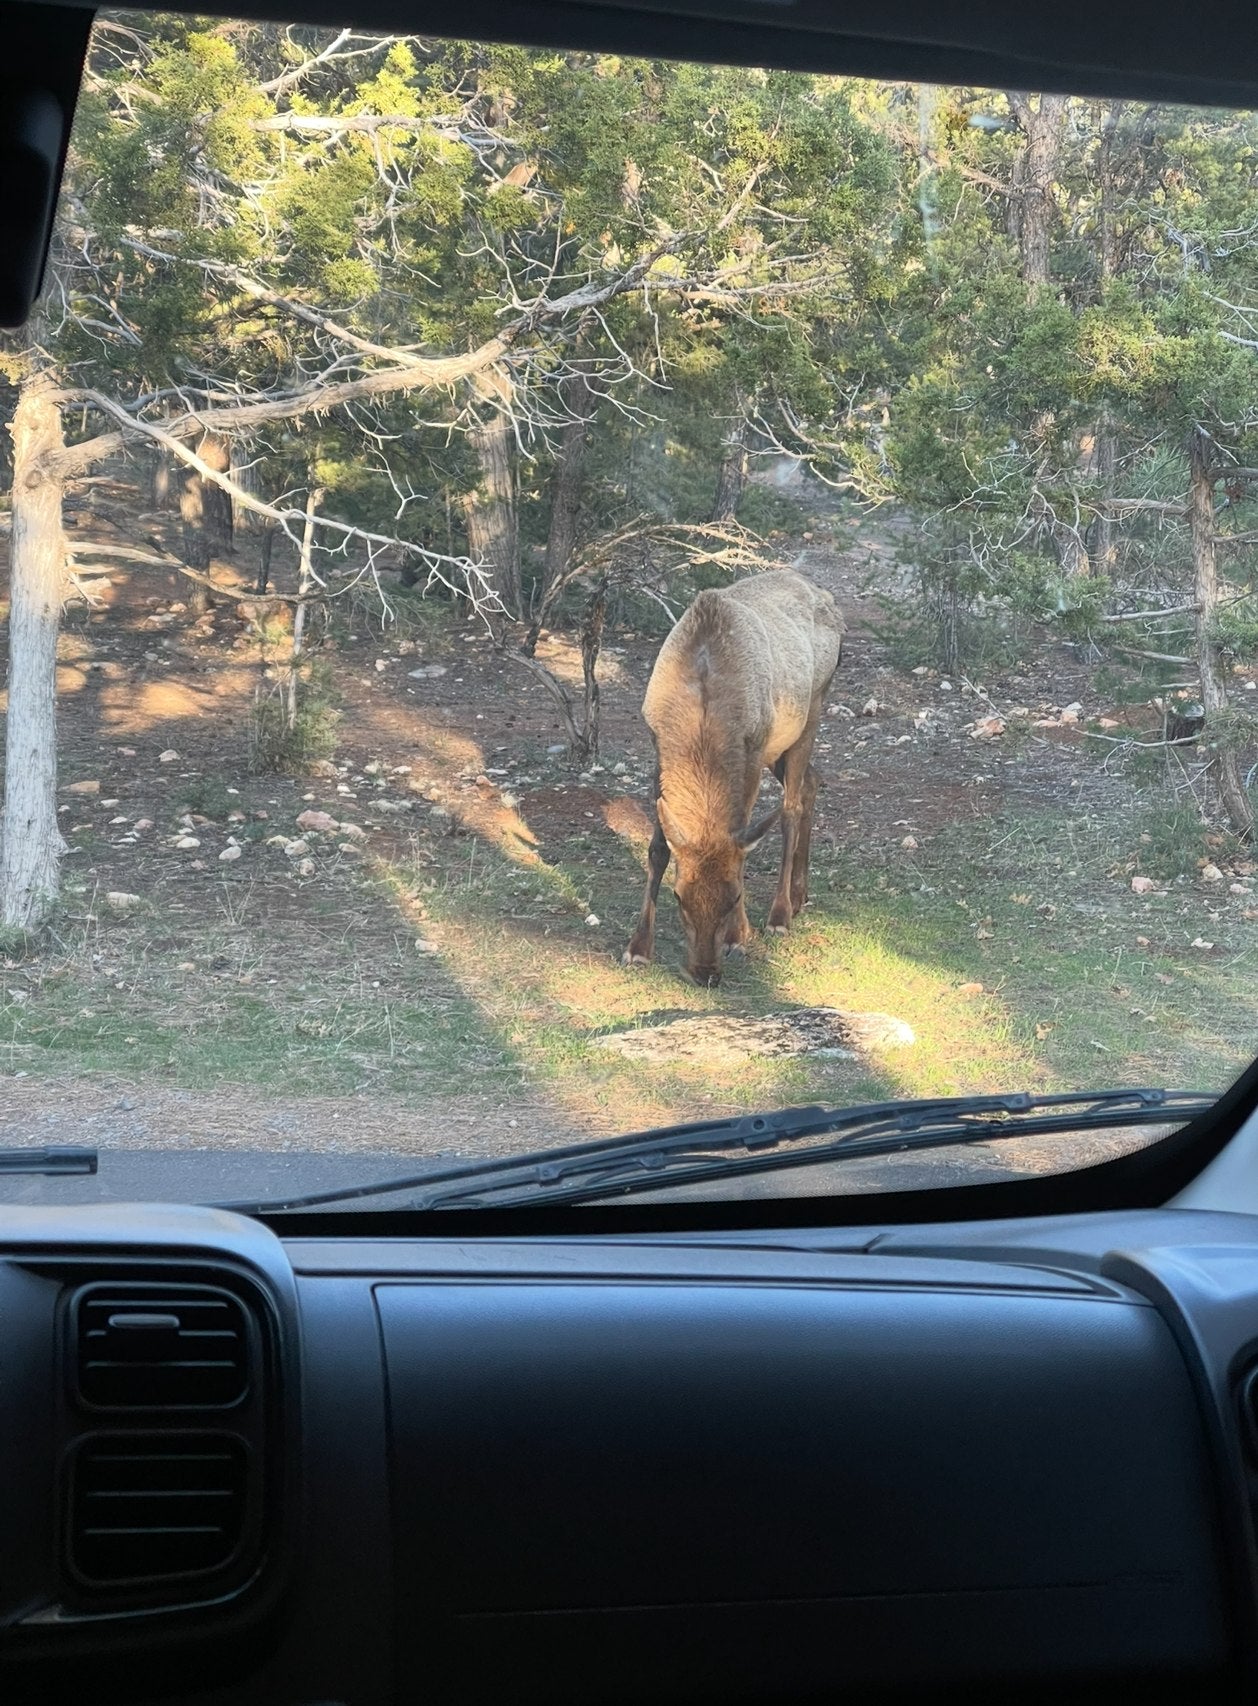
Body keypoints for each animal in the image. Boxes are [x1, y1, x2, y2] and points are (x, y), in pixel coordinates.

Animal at [623, 570, 843, 986]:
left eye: (737, 896)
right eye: (679, 896)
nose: (706, 973)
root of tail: (828, 598)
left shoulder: (753, 748)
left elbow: (741, 843)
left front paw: (740, 936)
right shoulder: (657, 749)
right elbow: (658, 848)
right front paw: (638, 947)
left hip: (811, 709)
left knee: (790, 808)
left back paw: (780, 913)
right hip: (782, 746)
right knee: (812, 781)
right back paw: (800, 894)